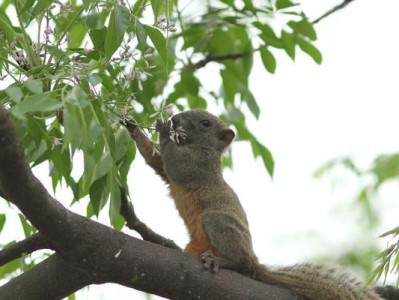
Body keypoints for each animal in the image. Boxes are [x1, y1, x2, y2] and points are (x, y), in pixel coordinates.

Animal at [123, 110, 382, 300]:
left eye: (205, 123)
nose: (175, 119)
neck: (199, 148)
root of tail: (254, 262)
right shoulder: (169, 172)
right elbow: (155, 160)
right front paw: (132, 126)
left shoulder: (198, 167)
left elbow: (174, 164)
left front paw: (163, 129)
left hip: (217, 222)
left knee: (238, 262)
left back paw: (221, 261)